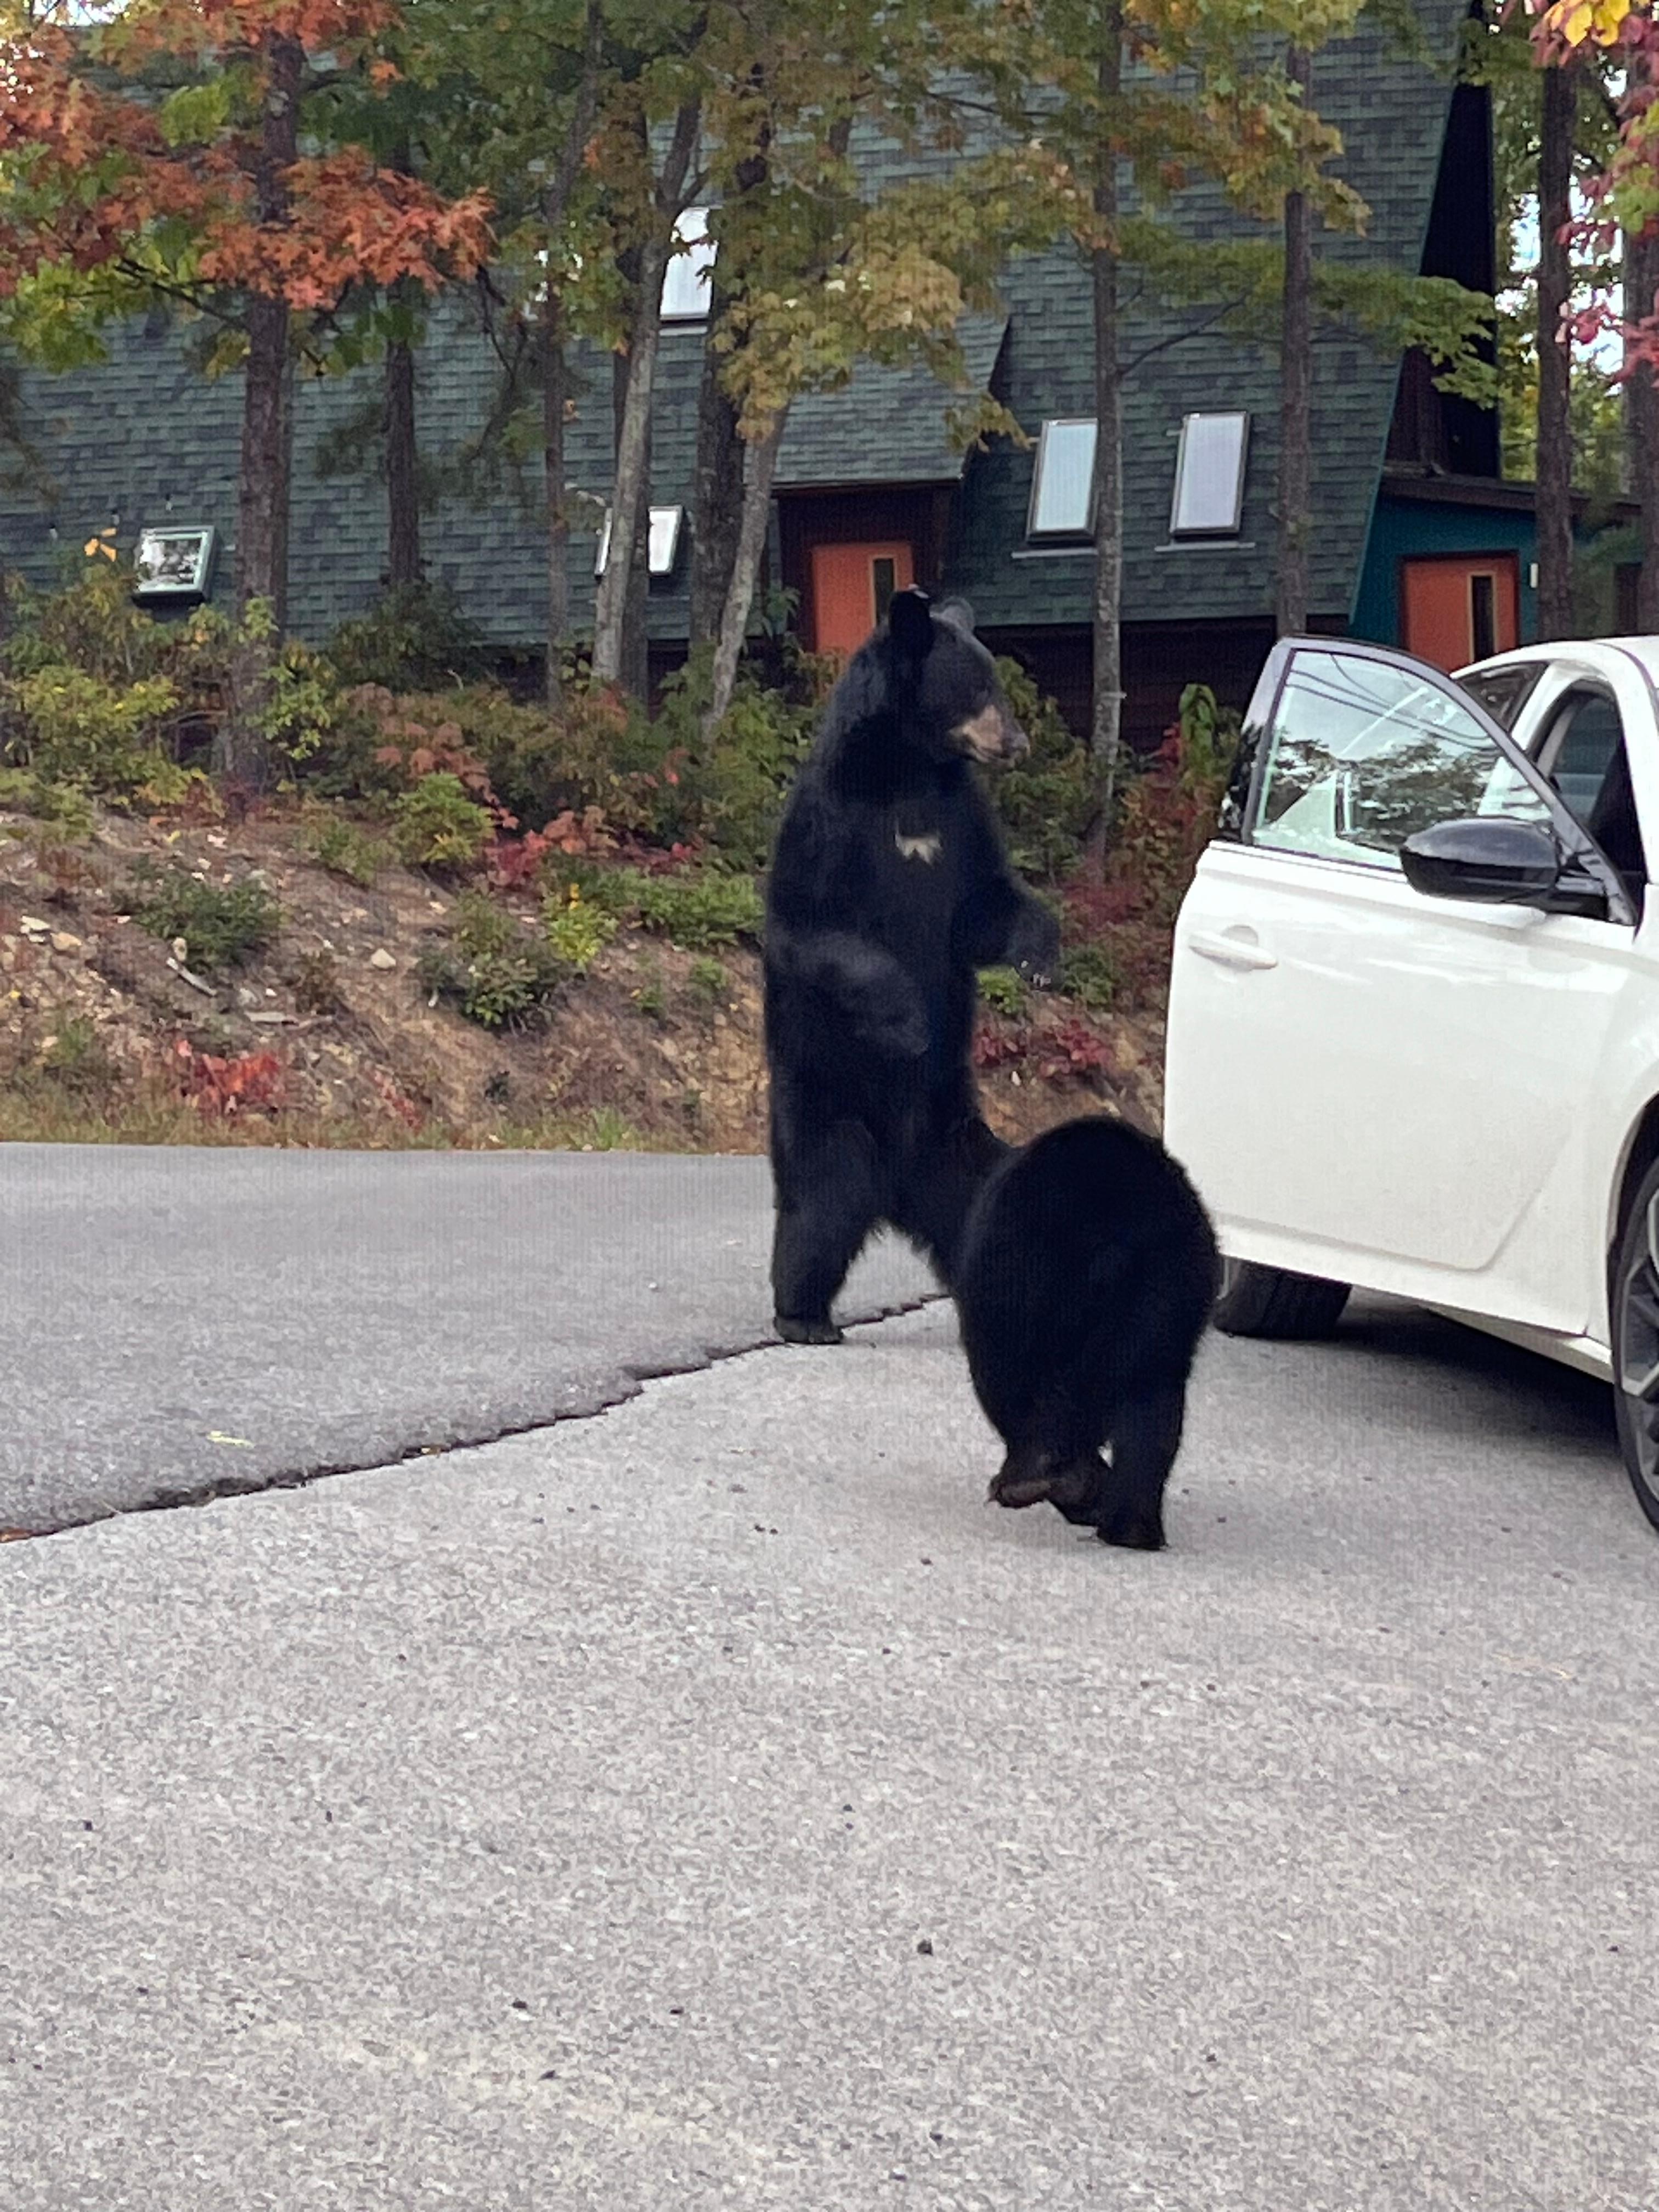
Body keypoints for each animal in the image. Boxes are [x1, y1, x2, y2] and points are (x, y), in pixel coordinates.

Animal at [763, 586, 1061, 1344]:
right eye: (978, 688)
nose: (1017, 744)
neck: (907, 773)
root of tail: (900, 1185)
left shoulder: (962, 820)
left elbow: (987, 905)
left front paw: (1041, 957)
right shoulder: (827, 821)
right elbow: (815, 928)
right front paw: (909, 1022)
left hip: (961, 1146)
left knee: (993, 1210)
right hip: (827, 1109)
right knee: (822, 1207)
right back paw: (804, 1315)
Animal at [953, 1114, 1220, 1551]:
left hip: (1011, 1282)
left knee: (1009, 1379)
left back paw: (1042, 1478)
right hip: (1165, 1286)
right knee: (1154, 1398)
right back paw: (1128, 1524)